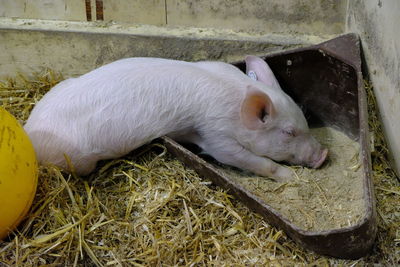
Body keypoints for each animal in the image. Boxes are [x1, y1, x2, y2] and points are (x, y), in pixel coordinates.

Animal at [23, 56, 326, 182]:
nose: (323, 155)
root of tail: (29, 133)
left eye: (304, 122)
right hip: (76, 159)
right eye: (289, 132)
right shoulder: (215, 134)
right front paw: (290, 177)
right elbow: (241, 158)